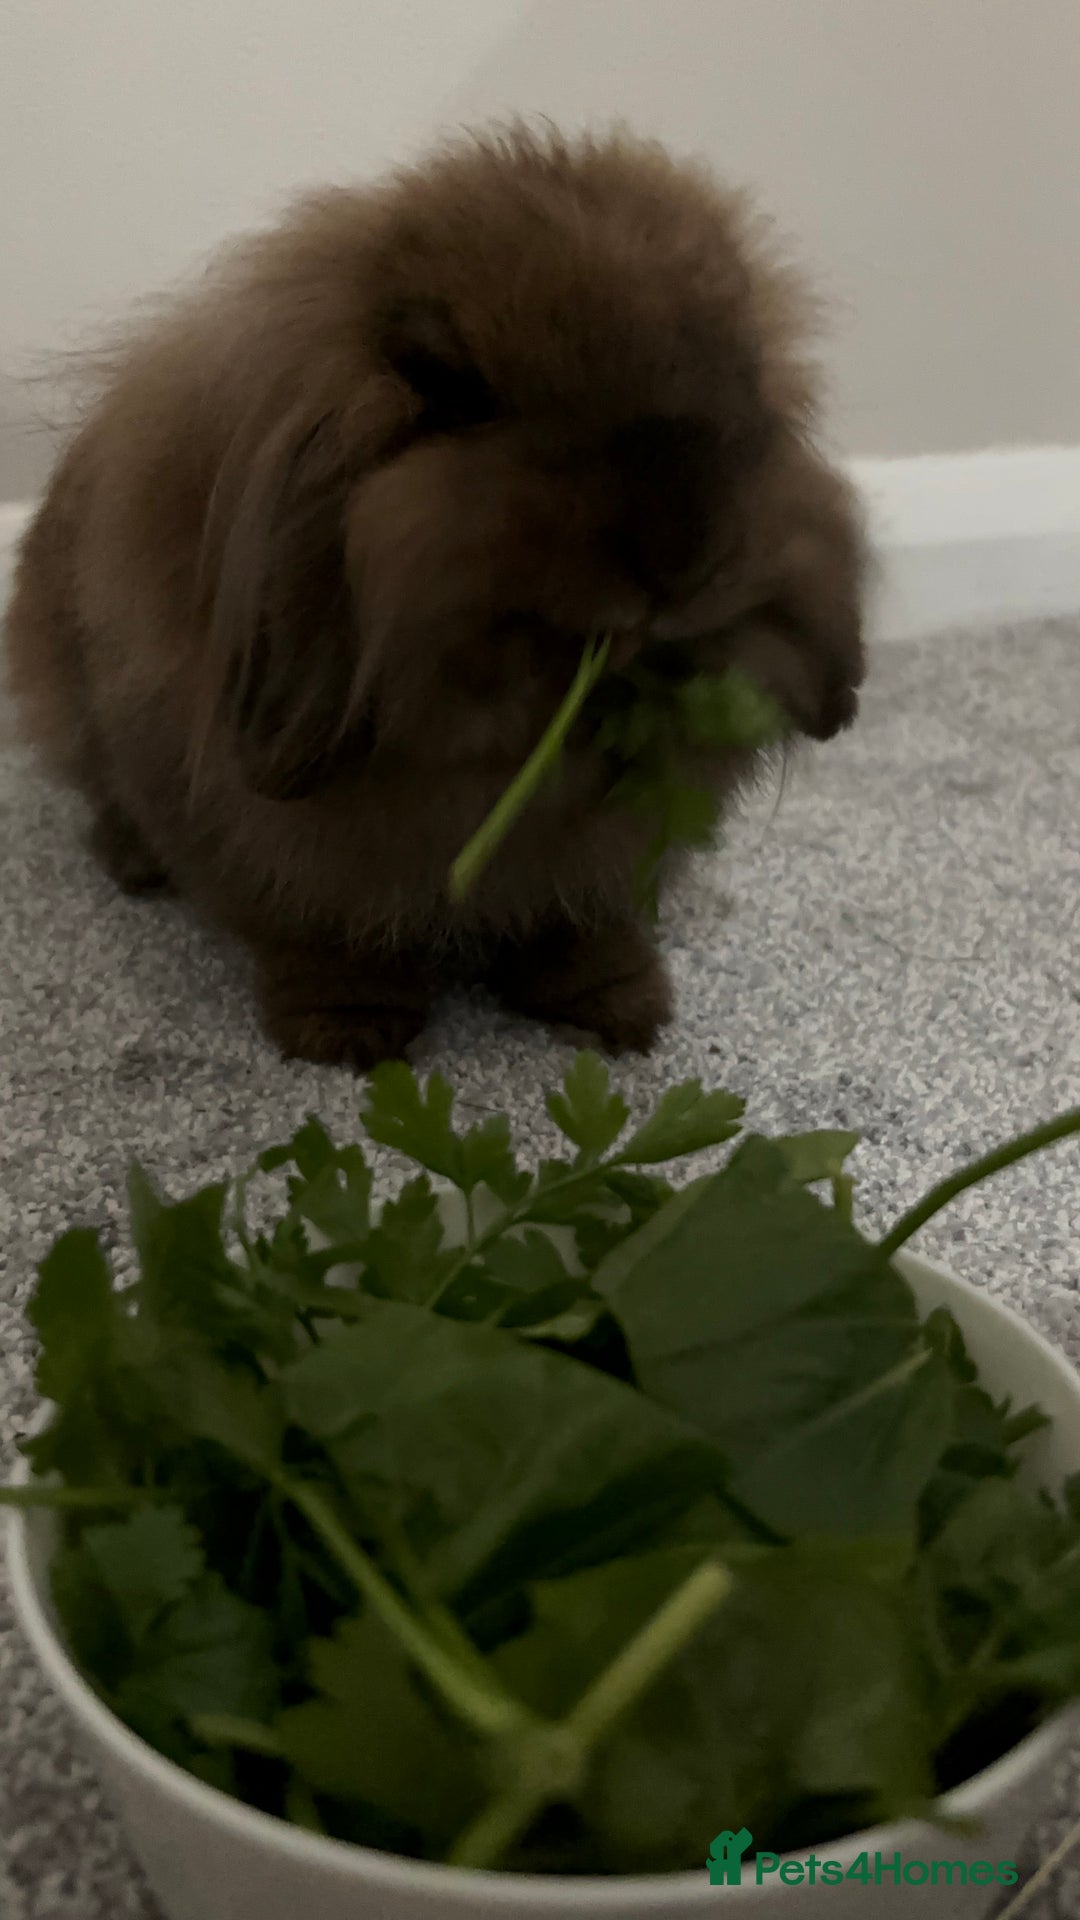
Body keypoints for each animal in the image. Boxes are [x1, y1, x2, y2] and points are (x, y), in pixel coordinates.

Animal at [3, 124, 867, 1070]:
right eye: (460, 393)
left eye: (744, 389)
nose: (681, 558)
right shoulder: (286, 844)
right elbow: (321, 935)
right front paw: (349, 1039)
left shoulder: (597, 862)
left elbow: (583, 928)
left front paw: (624, 1013)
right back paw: (135, 867)